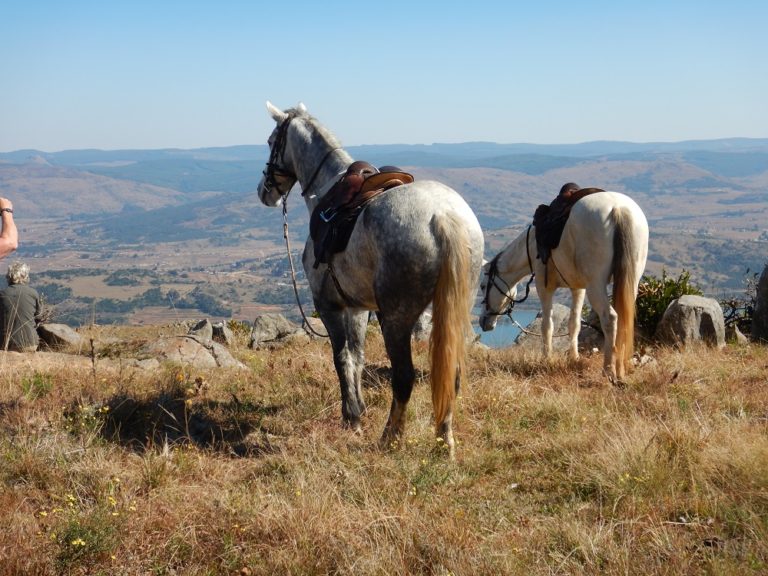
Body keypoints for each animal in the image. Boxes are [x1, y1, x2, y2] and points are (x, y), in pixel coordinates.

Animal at [258, 102, 486, 454]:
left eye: (271, 141)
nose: (264, 191)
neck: (328, 188)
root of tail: (443, 216)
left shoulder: (330, 305)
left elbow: (342, 358)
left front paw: (351, 417)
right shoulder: (358, 307)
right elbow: (358, 357)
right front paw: (359, 410)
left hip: (396, 317)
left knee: (404, 377)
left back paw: (390, 437)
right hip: (457, 309)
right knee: (453, 374)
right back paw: (443, 443)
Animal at [480, 192, 648, 382]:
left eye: (483, 286)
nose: (483, 322)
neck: (532, 244)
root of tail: (618, 208)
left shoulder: (544, 287)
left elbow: (547, 325)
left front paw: (547, 358)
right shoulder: (578, 289)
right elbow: (574, 323)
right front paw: (573, 358)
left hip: (596, 286)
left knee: (610, 318)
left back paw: (608, 370)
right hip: (630, 282)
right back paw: (620, 368)